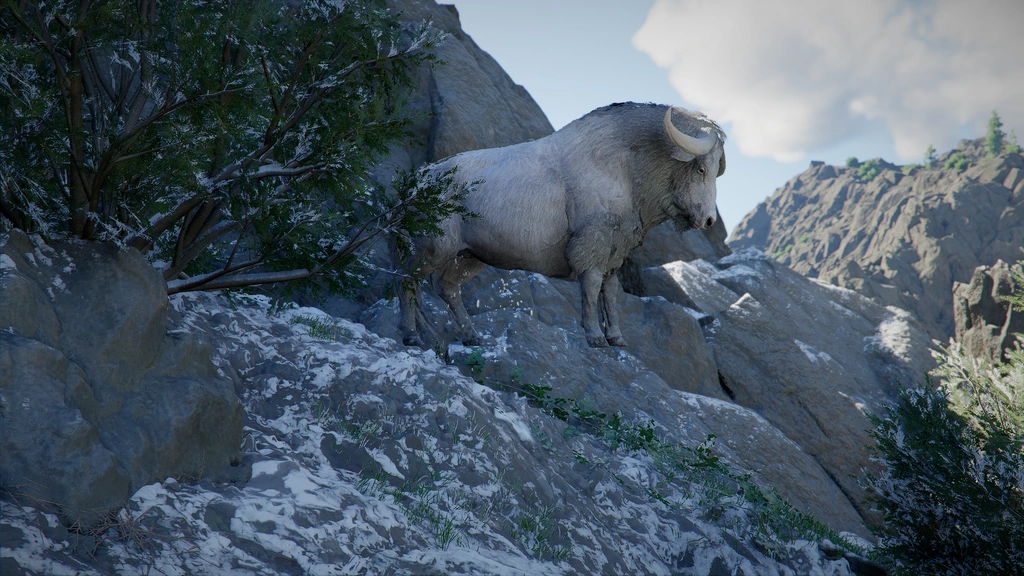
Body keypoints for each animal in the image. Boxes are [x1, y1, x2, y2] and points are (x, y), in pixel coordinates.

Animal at [400, 102, 726, 348]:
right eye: (700, 169)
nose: (709, 220)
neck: (623, 166)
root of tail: (418, 181)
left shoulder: (615, 253)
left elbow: (610, 292)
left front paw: (616, 337)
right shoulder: (591, 246)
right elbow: (591, 288)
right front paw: (595, 336)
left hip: (469, 257)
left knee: (446, 287)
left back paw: (471, 336)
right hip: (433, 249)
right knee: (407, 281)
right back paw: (412, 336)